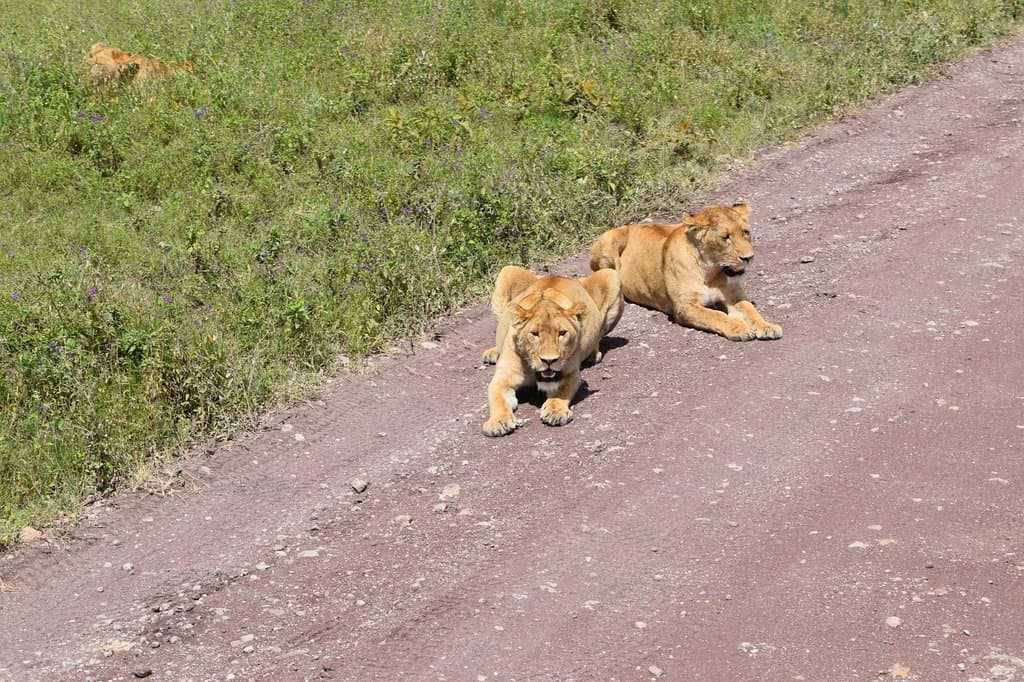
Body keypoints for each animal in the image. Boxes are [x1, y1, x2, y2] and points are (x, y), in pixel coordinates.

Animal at [482, 265, 624, 437]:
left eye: (562, 333)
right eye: (535, 334)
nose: (549, 361)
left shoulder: (571, 374)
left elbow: (561, 392)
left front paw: (555, 412)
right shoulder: (503, 377)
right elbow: (497, 398)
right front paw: (498, 422)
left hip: (612, 276)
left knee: (601, 331)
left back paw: (593, 354)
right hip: (508, 271)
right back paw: (493, 353)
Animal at [589, 202, 781, 341]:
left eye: (746, 232)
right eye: (725, 237)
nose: (749, 257)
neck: (710, 271)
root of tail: (630, 225)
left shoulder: (733, 295)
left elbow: (750, 309)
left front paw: (767, 327)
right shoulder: (684, 307)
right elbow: (715, 315)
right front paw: (739, 328)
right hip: (609, 242)